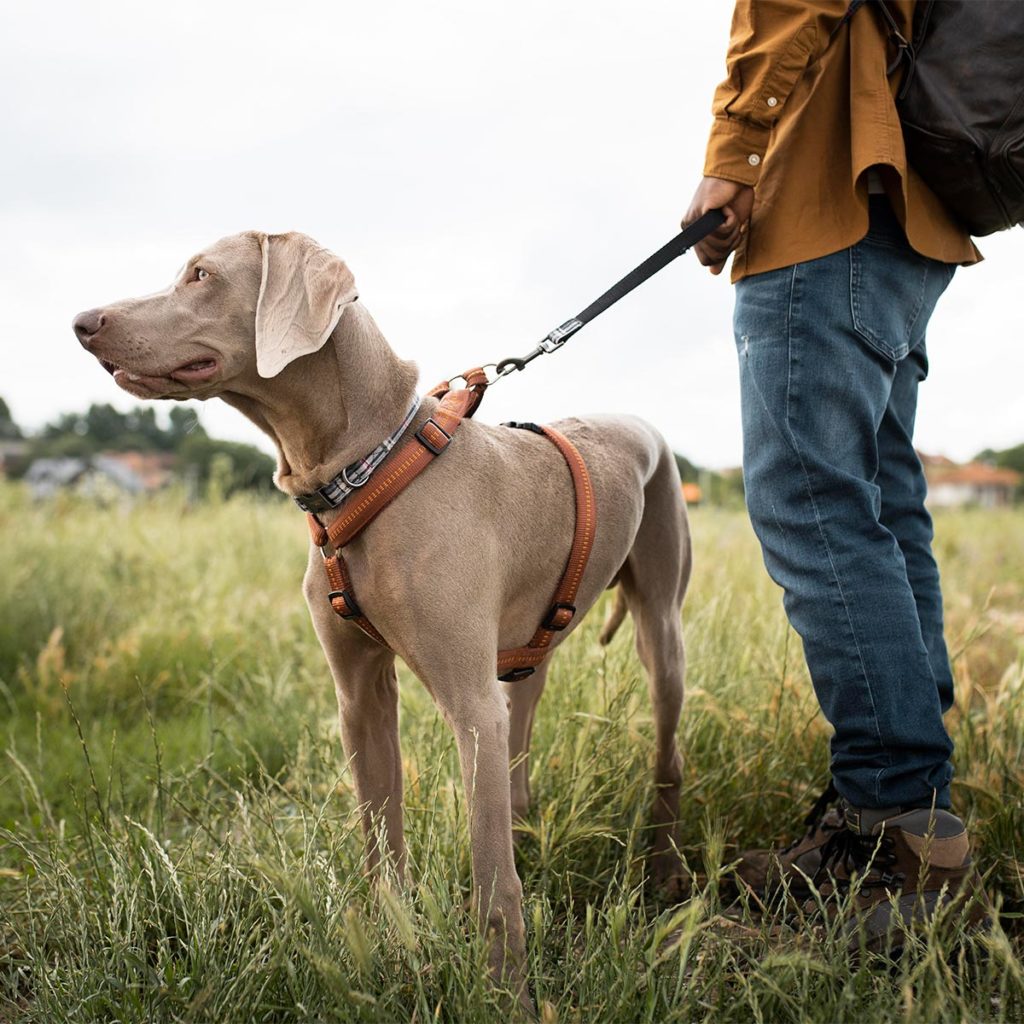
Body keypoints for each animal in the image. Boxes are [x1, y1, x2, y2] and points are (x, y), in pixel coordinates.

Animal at [74, 232, 696, 1007]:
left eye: (201, 275)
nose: (82, 322)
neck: (364, 470)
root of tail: (640, 422)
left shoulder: (469, 705)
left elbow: (492, 881)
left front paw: (505, 996)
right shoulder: (359, 697)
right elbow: (380, 844)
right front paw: (394, 948)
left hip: (660, 631)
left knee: (666, 752)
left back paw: (666, 871)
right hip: (529, 651)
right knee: (523, 738)